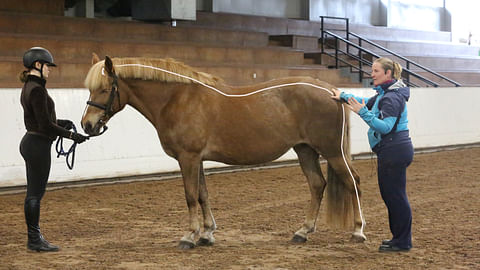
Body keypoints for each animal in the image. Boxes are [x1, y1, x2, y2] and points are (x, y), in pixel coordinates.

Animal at [81, 53, 368, 250]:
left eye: (104, 89)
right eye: (90, 88)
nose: (87, 125)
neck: (177, 98)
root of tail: (331, 91)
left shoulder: (188, 158)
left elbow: (190, 196)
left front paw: (189, 236)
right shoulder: (196, 159)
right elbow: (203, 195)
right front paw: (207, 234)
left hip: (332, 152)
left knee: (353, 182)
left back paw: (358, 232)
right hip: (305, 150)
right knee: (317, 185)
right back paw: (302, 232)